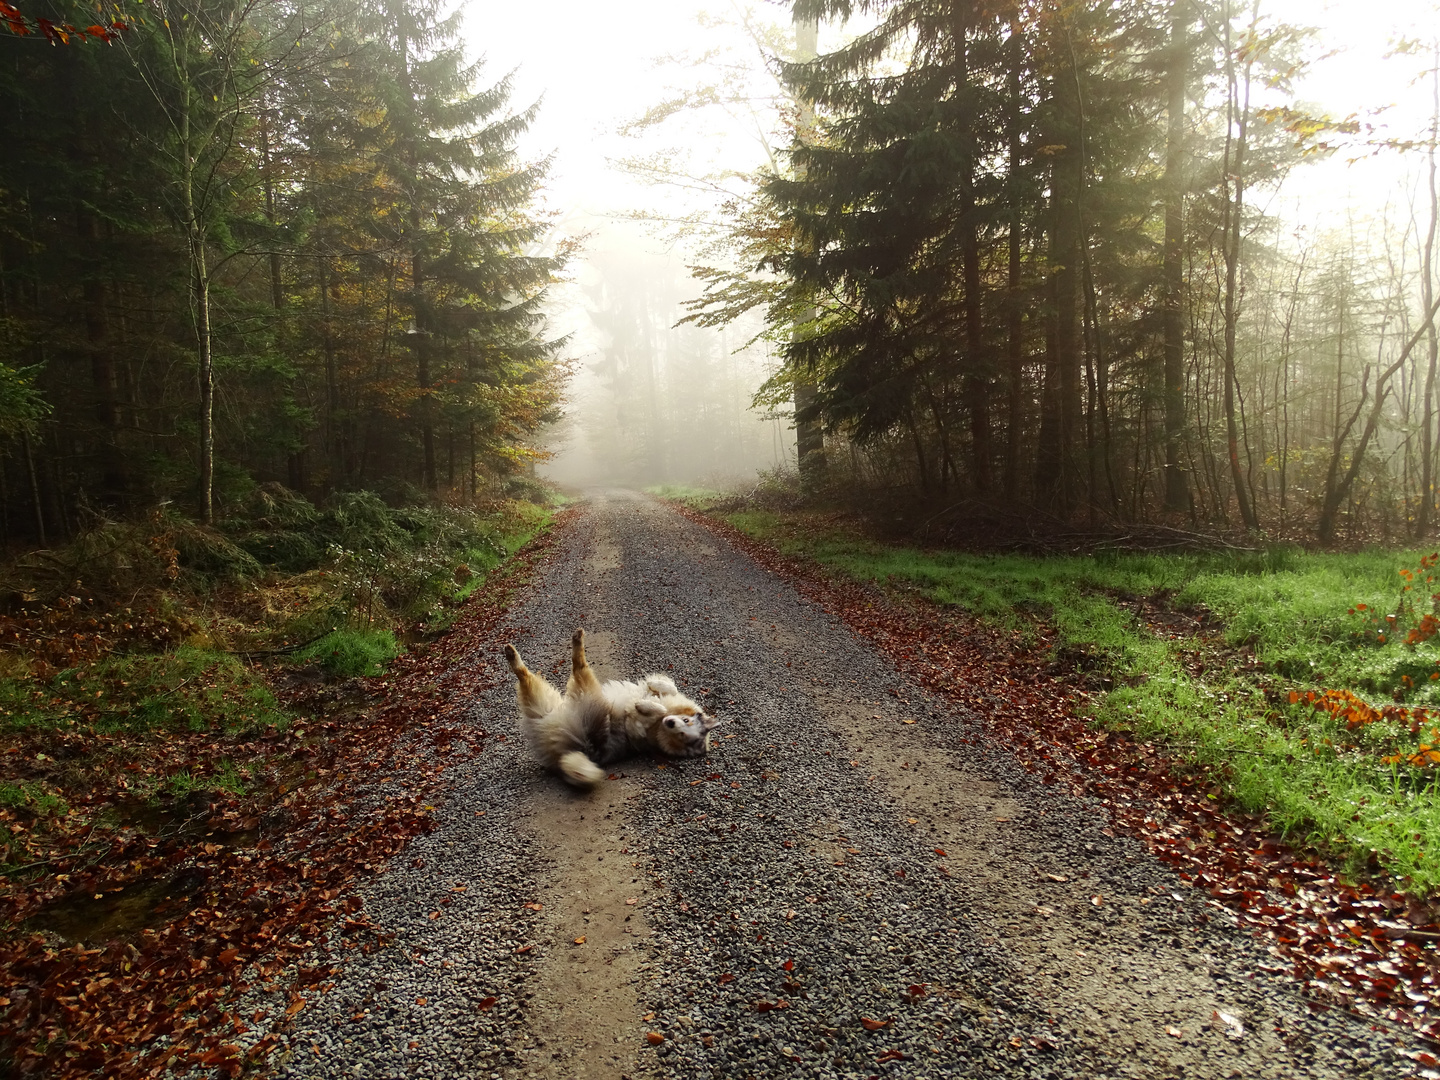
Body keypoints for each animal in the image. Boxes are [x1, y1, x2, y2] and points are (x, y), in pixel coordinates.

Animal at [501, 630, 720, 789]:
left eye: (683, 735)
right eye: (686, 722)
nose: (671, 722)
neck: (660, 727)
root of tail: (566, 753)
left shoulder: (638, 725)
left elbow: (650, 709)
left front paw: (642, 705)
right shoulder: (667, 694)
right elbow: (668, 686)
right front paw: (653, 688)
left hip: (579, 692)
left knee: (570, 668)